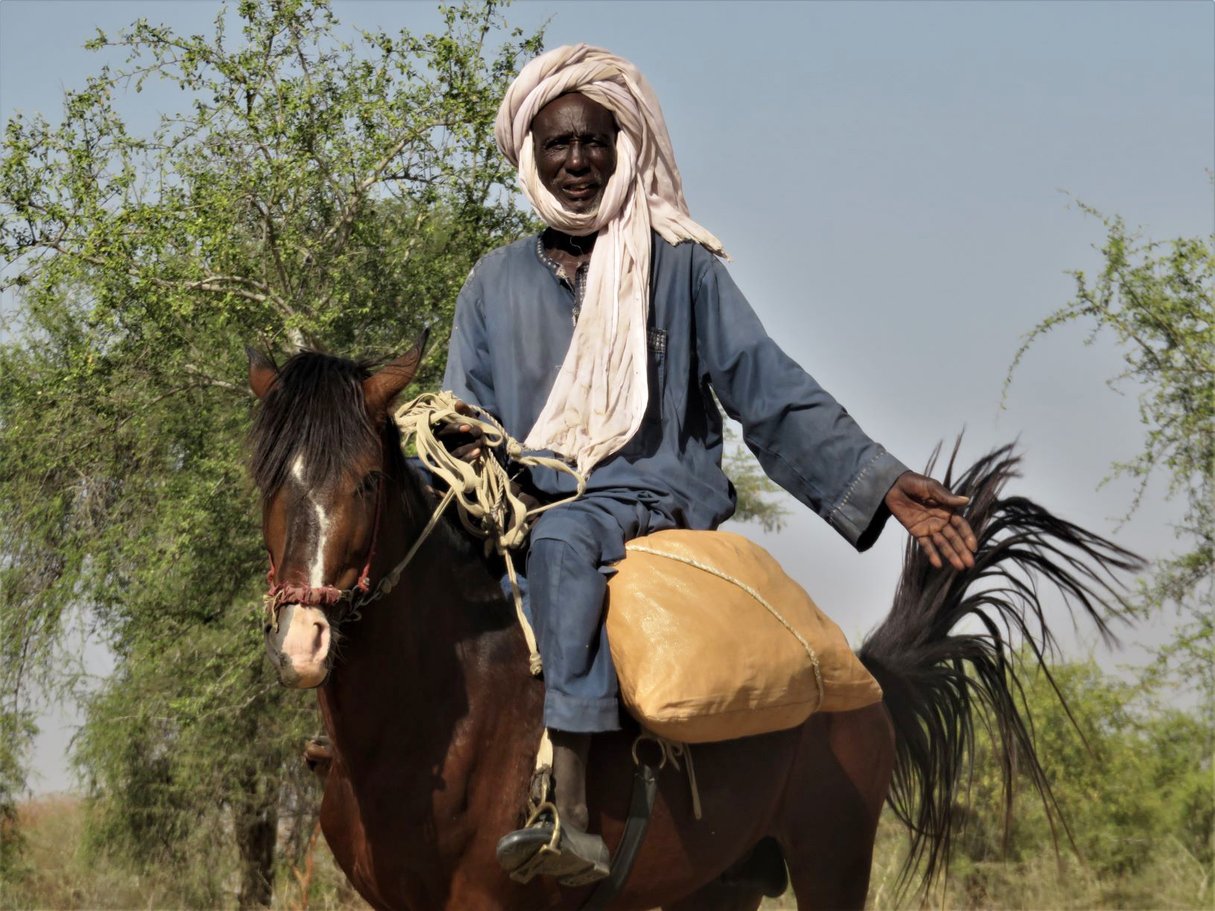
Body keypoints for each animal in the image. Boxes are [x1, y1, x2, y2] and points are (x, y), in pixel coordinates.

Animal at [246, 344, 1137, 908]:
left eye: (367, 479)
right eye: (268, 480)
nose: (303, 644)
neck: (440, 716)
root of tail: (862, 675)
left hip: (831, 859)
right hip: (724, 883)